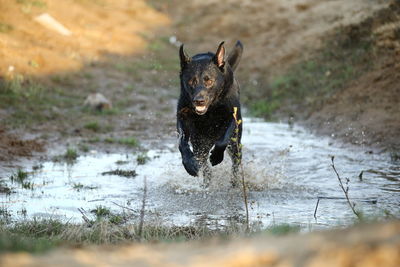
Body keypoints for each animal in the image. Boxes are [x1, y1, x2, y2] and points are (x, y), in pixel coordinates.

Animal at [176, 40, 244, 187]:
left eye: (209, 81)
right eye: (191, 81)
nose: (199, 101)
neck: (211, 109)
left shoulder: (232, 116)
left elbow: (223, 139)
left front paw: (216, 156)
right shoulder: (182, 117)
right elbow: (182, 142)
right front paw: (189, 165)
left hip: (236, 142)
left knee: (236, 162)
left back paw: (234, 183)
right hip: (199, 143)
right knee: (203, 163)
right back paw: (206, 183)